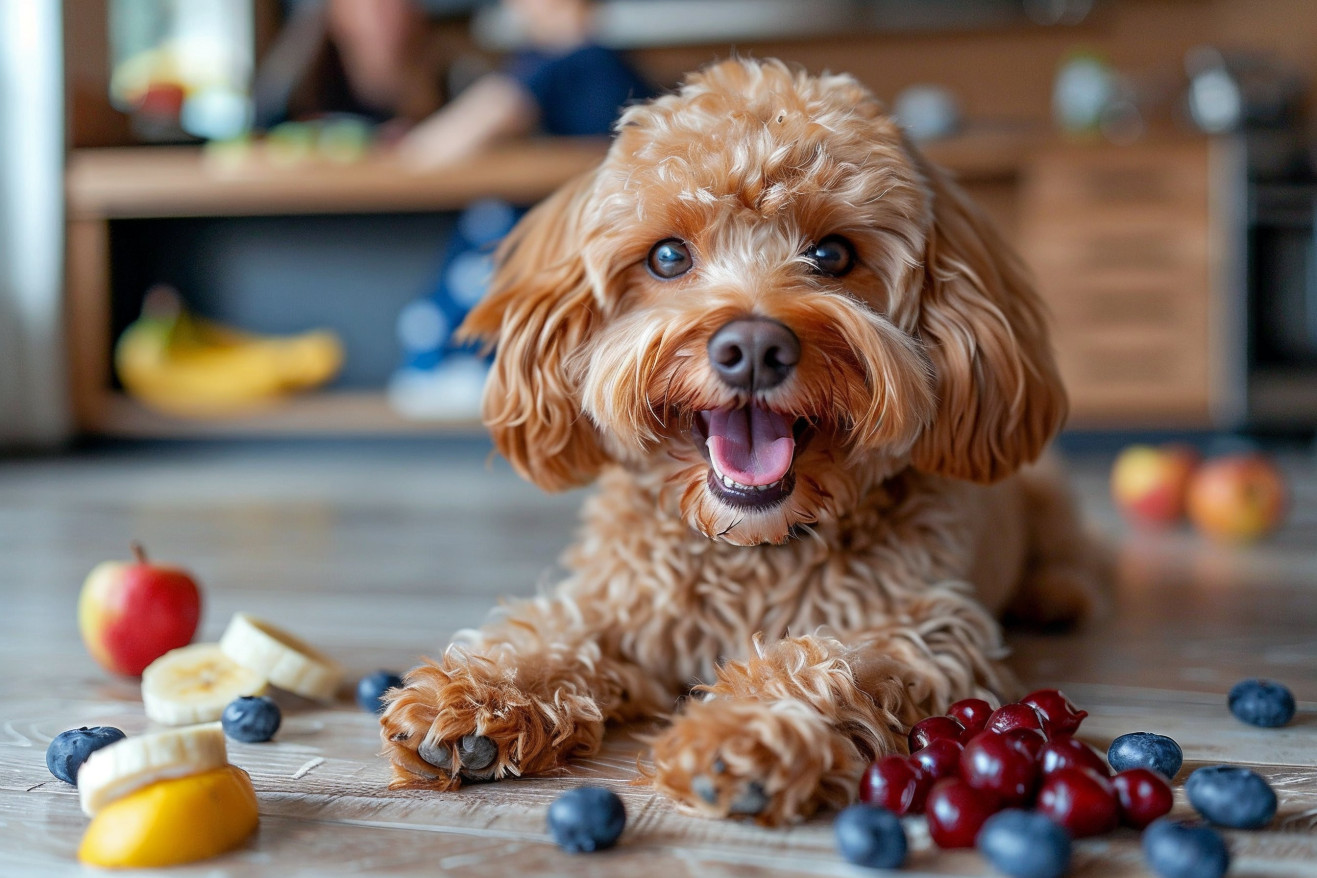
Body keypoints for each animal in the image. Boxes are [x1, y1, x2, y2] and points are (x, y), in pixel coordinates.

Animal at [381, 58, 1101, 826]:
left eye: (832, 253)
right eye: (668, 256)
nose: (753, 348)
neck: (750, 548)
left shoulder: (923, 632)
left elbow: (826, 662)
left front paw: (745, 731)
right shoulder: (621, 603)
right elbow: (558, 627)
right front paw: (482, 695)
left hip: (1048, 490)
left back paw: (1056, 593)